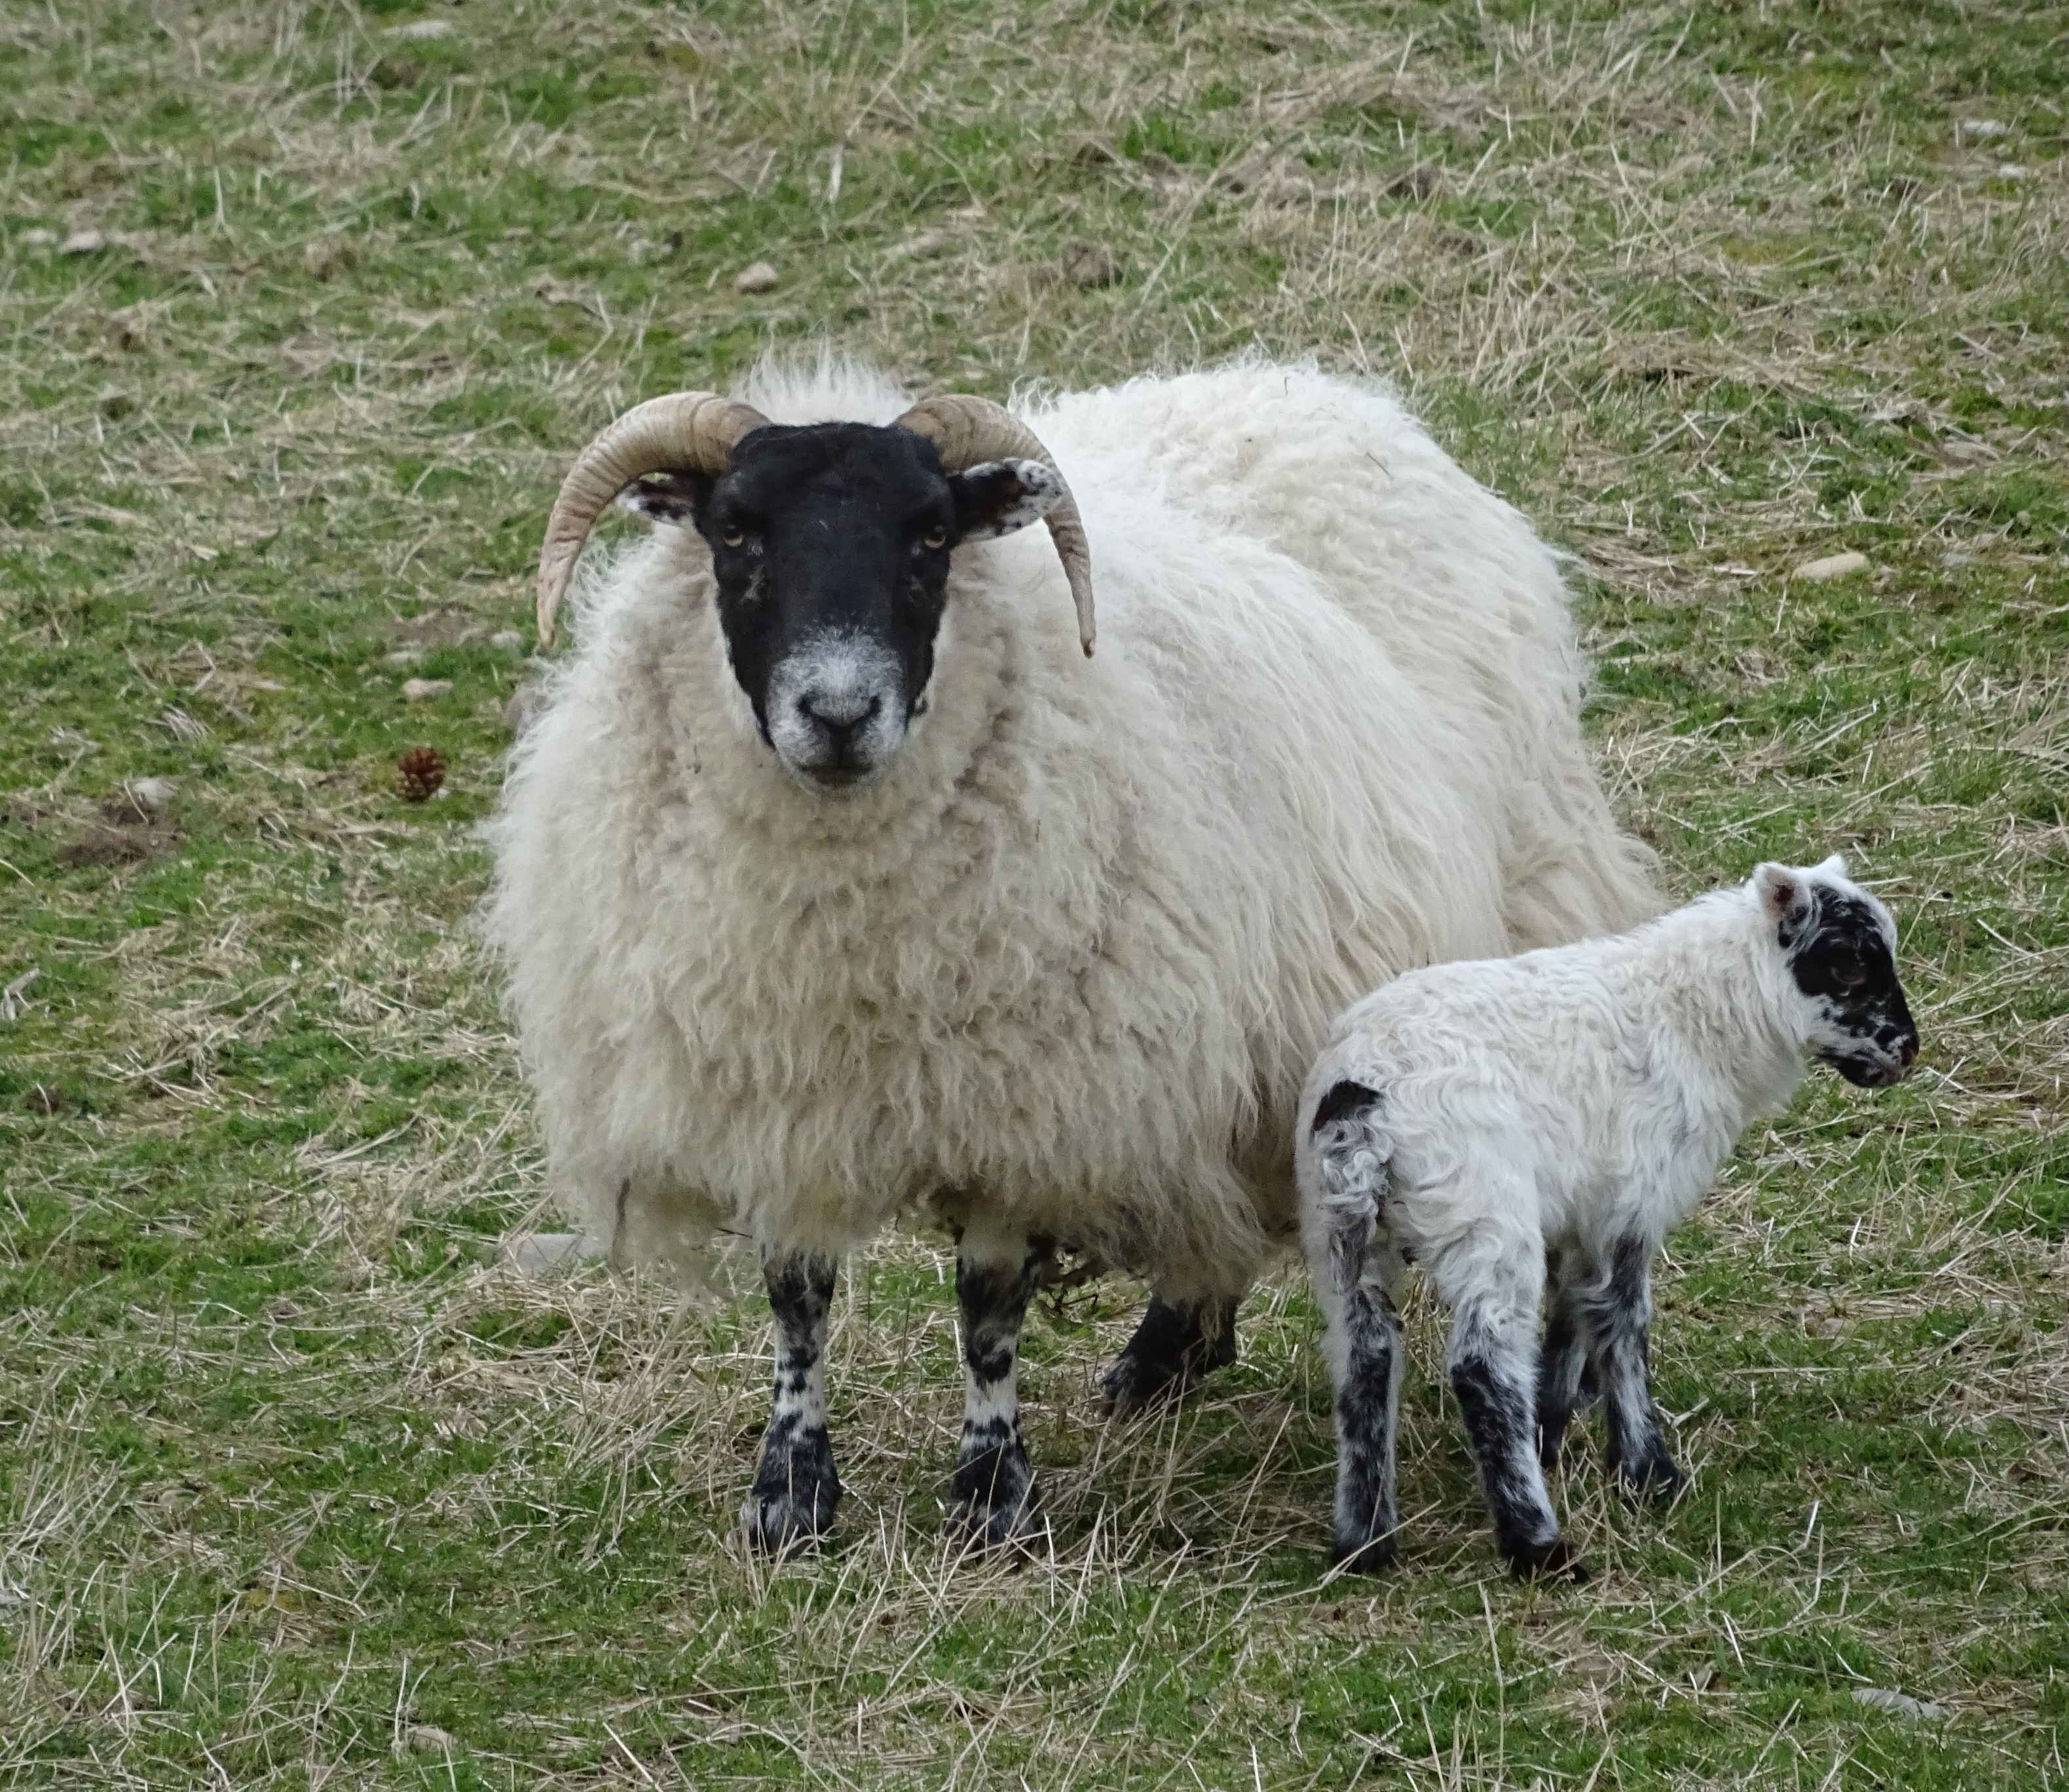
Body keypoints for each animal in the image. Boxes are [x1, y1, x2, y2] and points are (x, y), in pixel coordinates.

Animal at [484, 355, 1662, 1554]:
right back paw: (1166, 1353)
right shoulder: (781, 1102)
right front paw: (789, 1494)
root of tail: (1313, 393)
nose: (838, 712)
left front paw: (991, 1494)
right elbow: (798, 1300)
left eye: (930, 537)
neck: (847, 944)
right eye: (734, 531)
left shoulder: (1029, 1101)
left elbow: (987, 1309)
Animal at [1297, 856, 1919, 1580]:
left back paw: (1365, 1542)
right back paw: (1537, 1545)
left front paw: (1552, 1432)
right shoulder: (1629, 1202)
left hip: (1341, 1234)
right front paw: (1649, 1473)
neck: (1697, 1016)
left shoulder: (1581, 1214)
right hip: (1484, 1216)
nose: (1907, 1050)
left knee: (1364, 1361)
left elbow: (1571, 1319)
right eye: (1847, 964)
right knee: (1481, 1368)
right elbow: (1622, 1324)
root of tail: (1365, 1101)